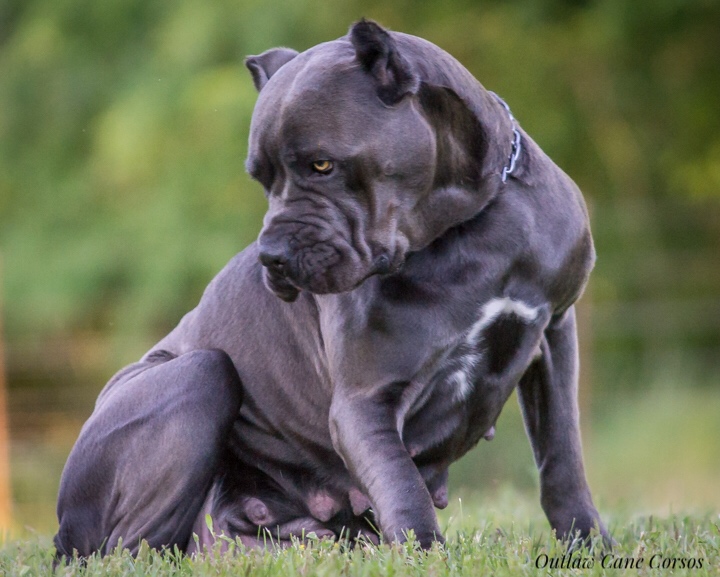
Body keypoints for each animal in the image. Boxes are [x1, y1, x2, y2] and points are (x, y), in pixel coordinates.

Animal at [53, 20, 612, 556]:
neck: (467, 227)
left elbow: (562, 454)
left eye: (322, 164)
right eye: (262, 179)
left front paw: (589, 543)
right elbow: (401, 483)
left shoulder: (554, 333)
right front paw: (425, 554)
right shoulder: (364, 401)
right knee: (129, 546)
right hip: (198, 374)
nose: (271, 255)